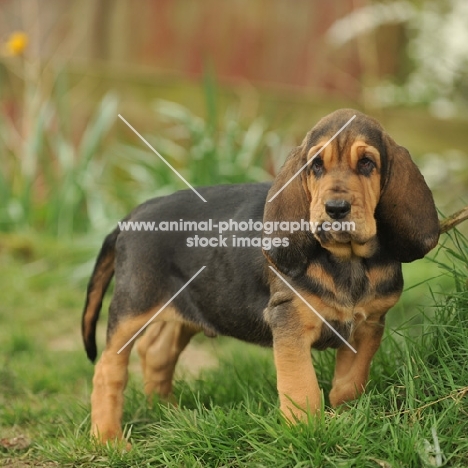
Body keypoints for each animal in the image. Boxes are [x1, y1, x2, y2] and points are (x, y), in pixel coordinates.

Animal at [81, 108, 438, 444]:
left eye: (366, 163)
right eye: (316, 166)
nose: (336, 208)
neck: (347, 260)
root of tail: (132, 215)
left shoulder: (368, 327)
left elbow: (350, 383)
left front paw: (345, 418)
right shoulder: (289, 323)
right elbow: (302, 389)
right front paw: (305, 433)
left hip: (191, 305)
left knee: (156, 352)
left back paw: (170, 415)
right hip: (132, 308)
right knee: (108, 371)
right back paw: (108, 439)